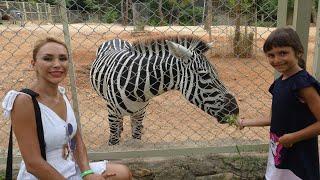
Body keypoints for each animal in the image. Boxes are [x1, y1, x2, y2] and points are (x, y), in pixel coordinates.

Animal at [89, 35, 239, 145]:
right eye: (205, 75)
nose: (235, 110)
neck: (137, 87)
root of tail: (114, 38)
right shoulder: (112, 113)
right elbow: (114, 140)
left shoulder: (140, 112)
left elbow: (136, 136)